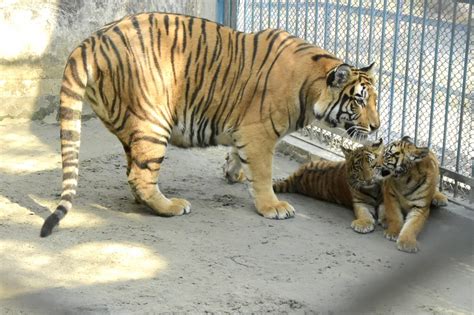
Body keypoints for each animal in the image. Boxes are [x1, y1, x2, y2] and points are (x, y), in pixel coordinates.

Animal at [40, 13, 382, 238]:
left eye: (375, 98)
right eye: (359, 101)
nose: (378, 127)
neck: (312, 88)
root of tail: (90, 41)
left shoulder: (245, 129)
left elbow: (237, 155)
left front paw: (233, 173)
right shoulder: (259, 133)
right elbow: (264, 174)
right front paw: (272, 206)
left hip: (130, 124)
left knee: (132, 171)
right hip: (153, 121)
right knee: (140, 175)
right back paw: (171, 206)